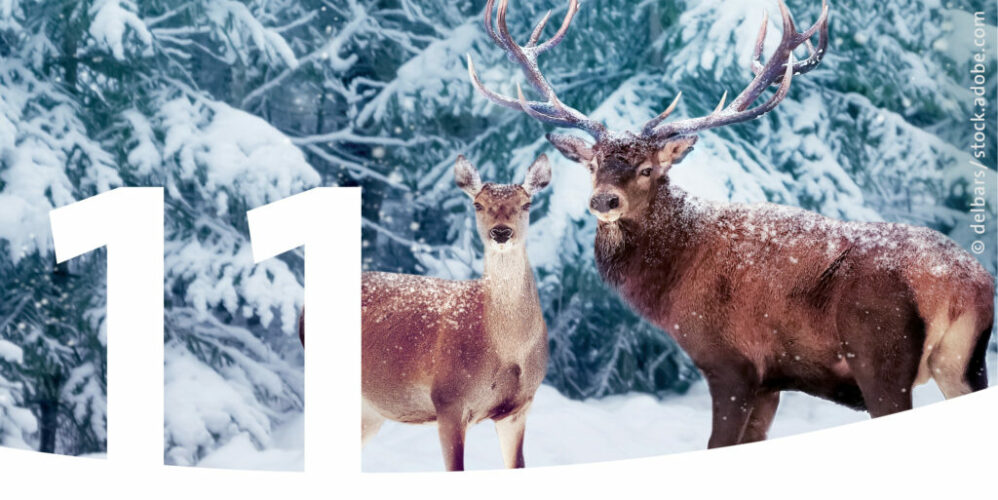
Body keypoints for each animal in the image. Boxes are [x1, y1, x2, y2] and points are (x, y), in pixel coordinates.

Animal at [300, 154, 552, 470]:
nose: (501, 232)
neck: (506, 349)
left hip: (370, 411)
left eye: (527, 204)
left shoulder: (519, 407)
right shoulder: (448, 399)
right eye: (478, 204)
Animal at [468, 0, 994, 448]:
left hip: (880, 355)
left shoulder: (731, 364)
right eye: (593, 164)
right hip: (962, 364)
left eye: (647, 168)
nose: (604, 200)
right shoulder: (771, 381)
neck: (672, 284)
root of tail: (967, 283)